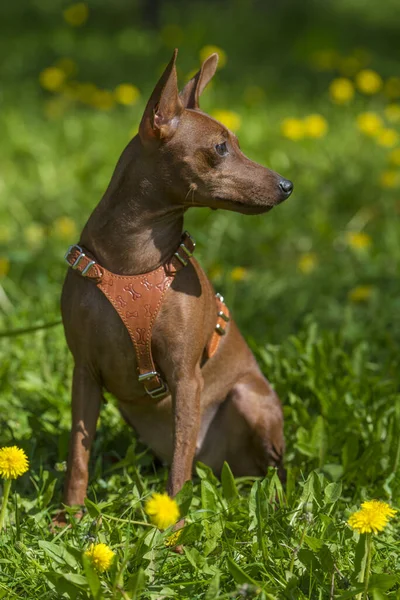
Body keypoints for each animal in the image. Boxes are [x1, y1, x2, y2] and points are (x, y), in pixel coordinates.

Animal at [61, 49, 294, 508]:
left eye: (237, 143)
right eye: (221, 147)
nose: (287, 185)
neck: (132, 262)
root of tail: (220, 468)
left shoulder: (186, 378)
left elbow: (179, 471)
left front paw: (174, 520)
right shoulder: (85, 374)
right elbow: (79, 456)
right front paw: (68, 516)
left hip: (248, 399)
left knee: (267, 471)